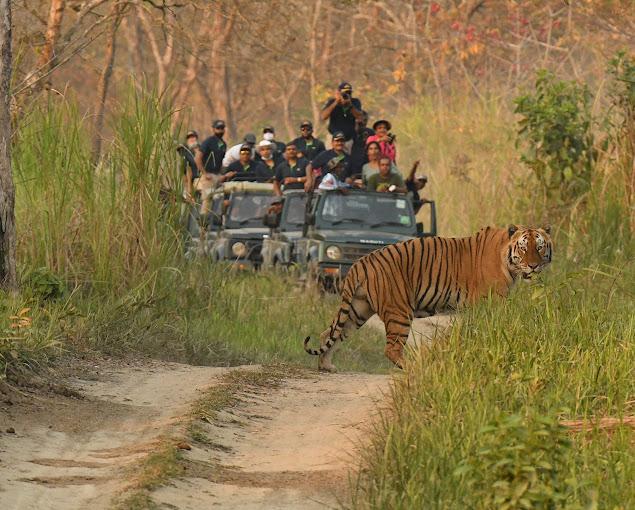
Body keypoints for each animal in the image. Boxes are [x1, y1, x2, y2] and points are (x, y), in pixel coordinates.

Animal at [304, 225, 552, 372]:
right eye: (523, 247)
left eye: (540, 247)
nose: (534, 265)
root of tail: (360, 263)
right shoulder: (492, 301)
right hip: (399, 311)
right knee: (391, 349)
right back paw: (415, 367)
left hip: (358, 309)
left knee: (329, 333)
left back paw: (326, 366)